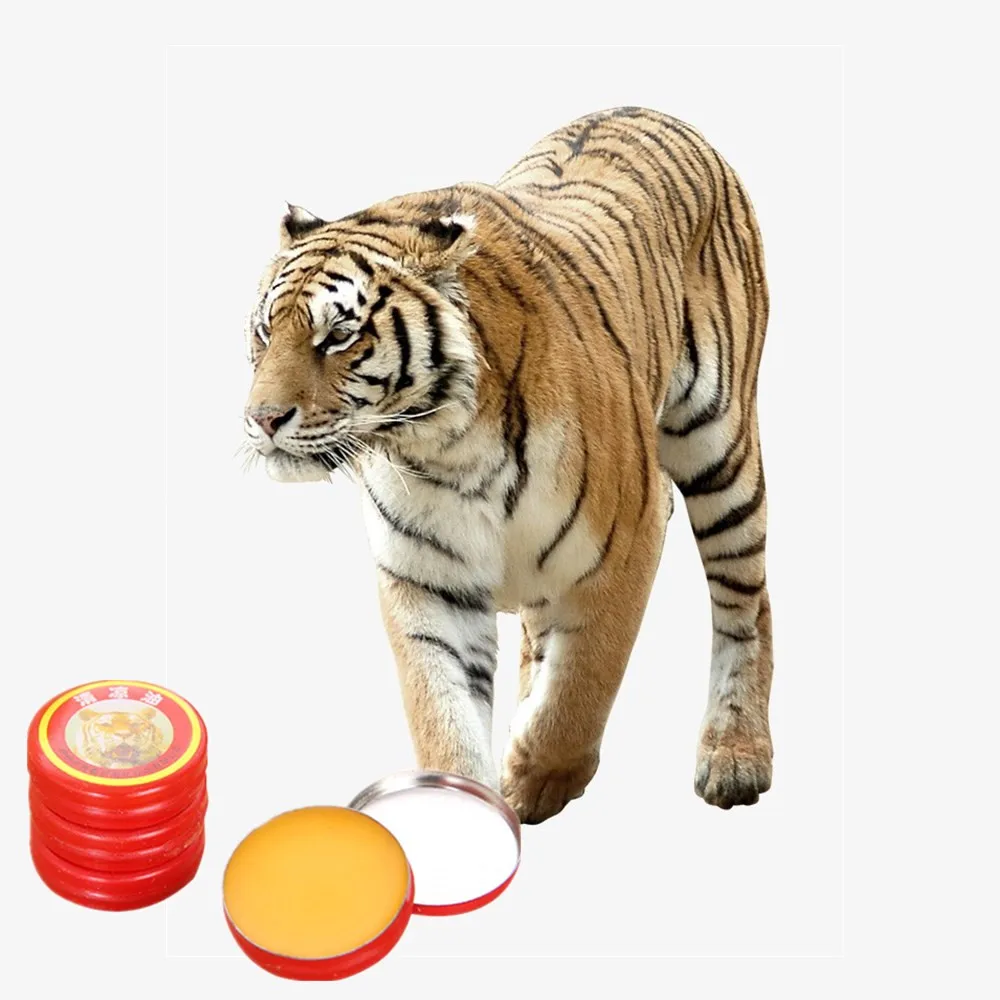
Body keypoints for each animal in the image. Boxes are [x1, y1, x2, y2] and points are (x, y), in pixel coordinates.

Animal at [243, 107, 773, 823]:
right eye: (265, 331)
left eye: (339, 336)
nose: (261, 419)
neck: (444, 447)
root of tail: (647, 109)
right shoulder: (426, 583)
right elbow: (443, 715)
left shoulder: (626, 542)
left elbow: (583, 683)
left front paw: (537, 776)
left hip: (721, 451)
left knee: (746, 604)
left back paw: (735, 757)